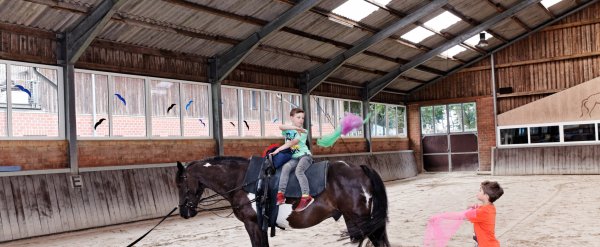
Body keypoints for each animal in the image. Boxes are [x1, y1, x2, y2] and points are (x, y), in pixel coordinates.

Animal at [175, 157, 390, 246]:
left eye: (180, 183)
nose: (184, 212)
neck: (243, 180)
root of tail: (359, 168)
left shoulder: (252, 224)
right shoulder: (260, 226)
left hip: (361, 219)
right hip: (354, 219)